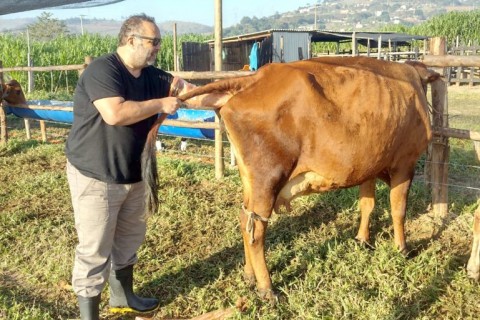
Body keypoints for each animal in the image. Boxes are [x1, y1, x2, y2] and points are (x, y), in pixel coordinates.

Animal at [144, 57, 440, 300]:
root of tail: (255, 78)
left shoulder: (368, 165)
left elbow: (367, 205)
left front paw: (362, 239)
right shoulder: (405, 164)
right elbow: (398, 210)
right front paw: (403, 248)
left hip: (250, 181)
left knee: (244, 219)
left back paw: (249, 275)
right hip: (268, 179)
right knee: (256, 230)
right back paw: (267, 288)